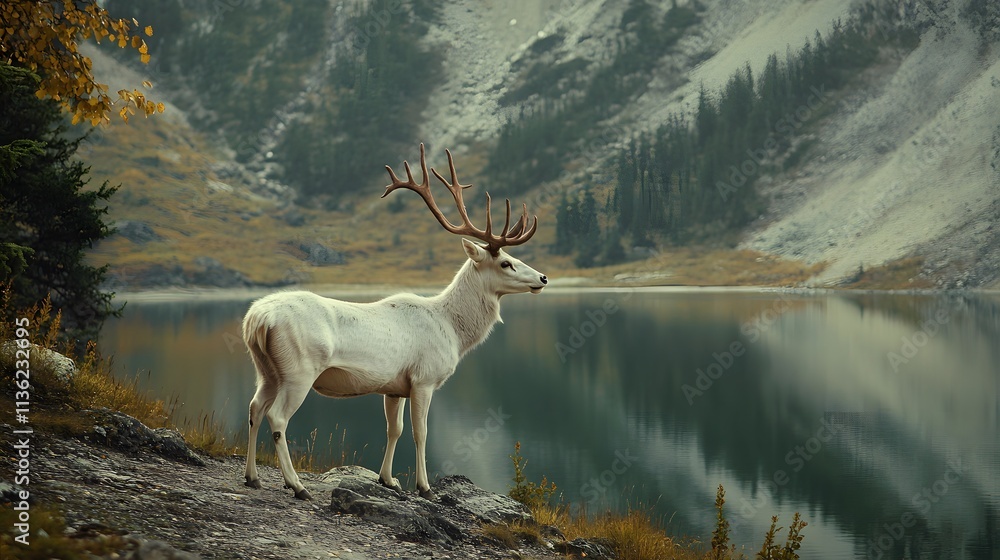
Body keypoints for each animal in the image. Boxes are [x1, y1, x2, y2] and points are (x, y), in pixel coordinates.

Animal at [241, 144, 547, 500]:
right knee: (277, 418)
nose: (543, 277)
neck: (453, 331)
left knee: (254, 408)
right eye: (505, 263)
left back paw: (252, 477)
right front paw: (424, 487)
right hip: (298, 368)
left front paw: (387, 479)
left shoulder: (394, 386)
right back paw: (297, 485)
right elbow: (420, 432)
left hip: (265, 368)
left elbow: (394, 429)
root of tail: (257, 319)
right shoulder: (424, 378)